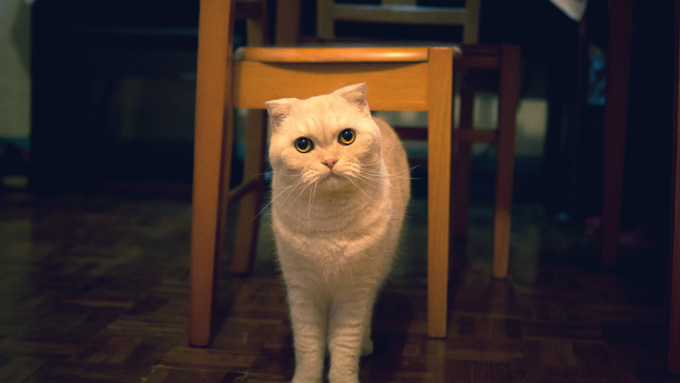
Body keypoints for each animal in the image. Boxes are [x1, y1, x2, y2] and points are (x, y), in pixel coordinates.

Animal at [266, 82, 410, 382]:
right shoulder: (303, 290)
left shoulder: (355, 292)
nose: (330, 161)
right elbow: (308, 345)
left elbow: (345, 345)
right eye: (303, 145)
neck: (329, 225)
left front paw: (343, 375)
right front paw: (306, 378)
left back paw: (365, 345)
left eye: (347, 137)